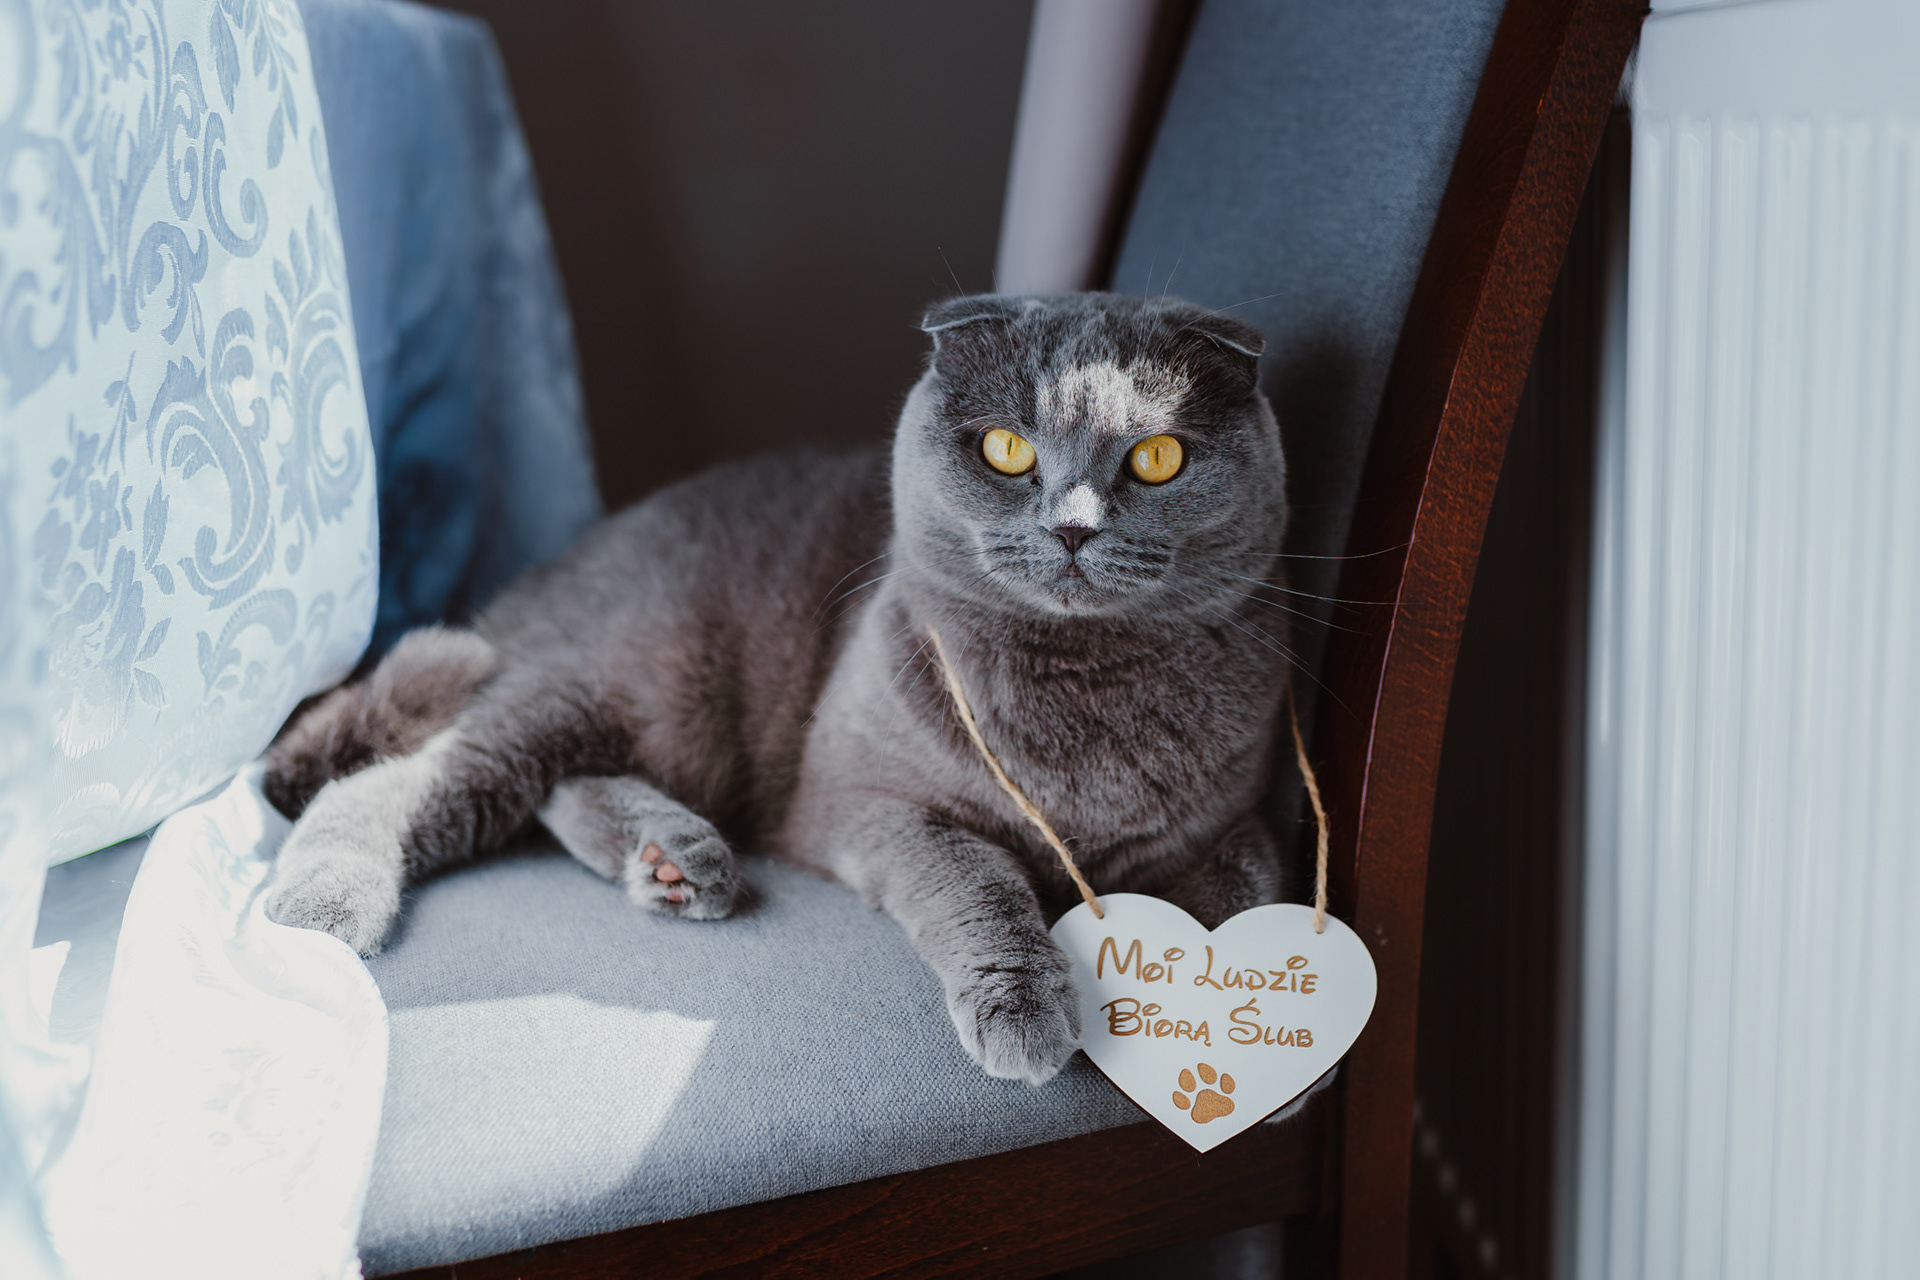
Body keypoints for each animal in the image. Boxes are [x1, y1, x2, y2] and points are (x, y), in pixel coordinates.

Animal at [262, 291, 1294, 1086]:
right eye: (1007, 449)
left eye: (1157, 458)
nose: (1072, 528)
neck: (1082, 692)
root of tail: (545, 573)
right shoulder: (868, 804)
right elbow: (981, 880)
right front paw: (1028, 1011)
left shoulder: (1231, 820)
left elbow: (1260, 890)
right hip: (615, 680)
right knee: (411, 777)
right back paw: (323, 903)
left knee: (550, 787)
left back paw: (676, 862)